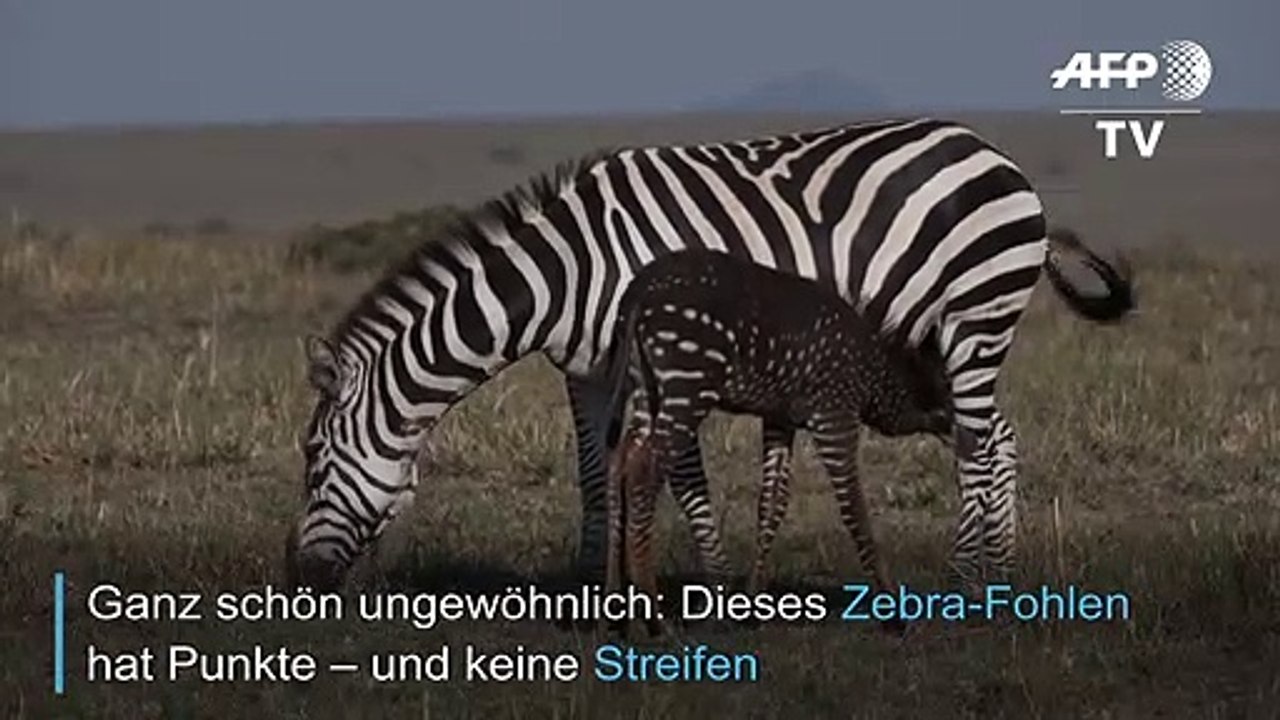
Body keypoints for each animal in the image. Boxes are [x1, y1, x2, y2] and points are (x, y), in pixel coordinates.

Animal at [597, 248, 953, 607]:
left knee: (619, 463)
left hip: (646, 389)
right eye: (947, 386)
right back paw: (649, 606)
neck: (875, 373)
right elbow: (854, 504)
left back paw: (613, 596)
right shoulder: (834, 415)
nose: (960, 436)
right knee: (644, 471)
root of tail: (636, 293)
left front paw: (753, 598)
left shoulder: (780, 419)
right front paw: (892, 601)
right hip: (687, 385)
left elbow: (772, 503)